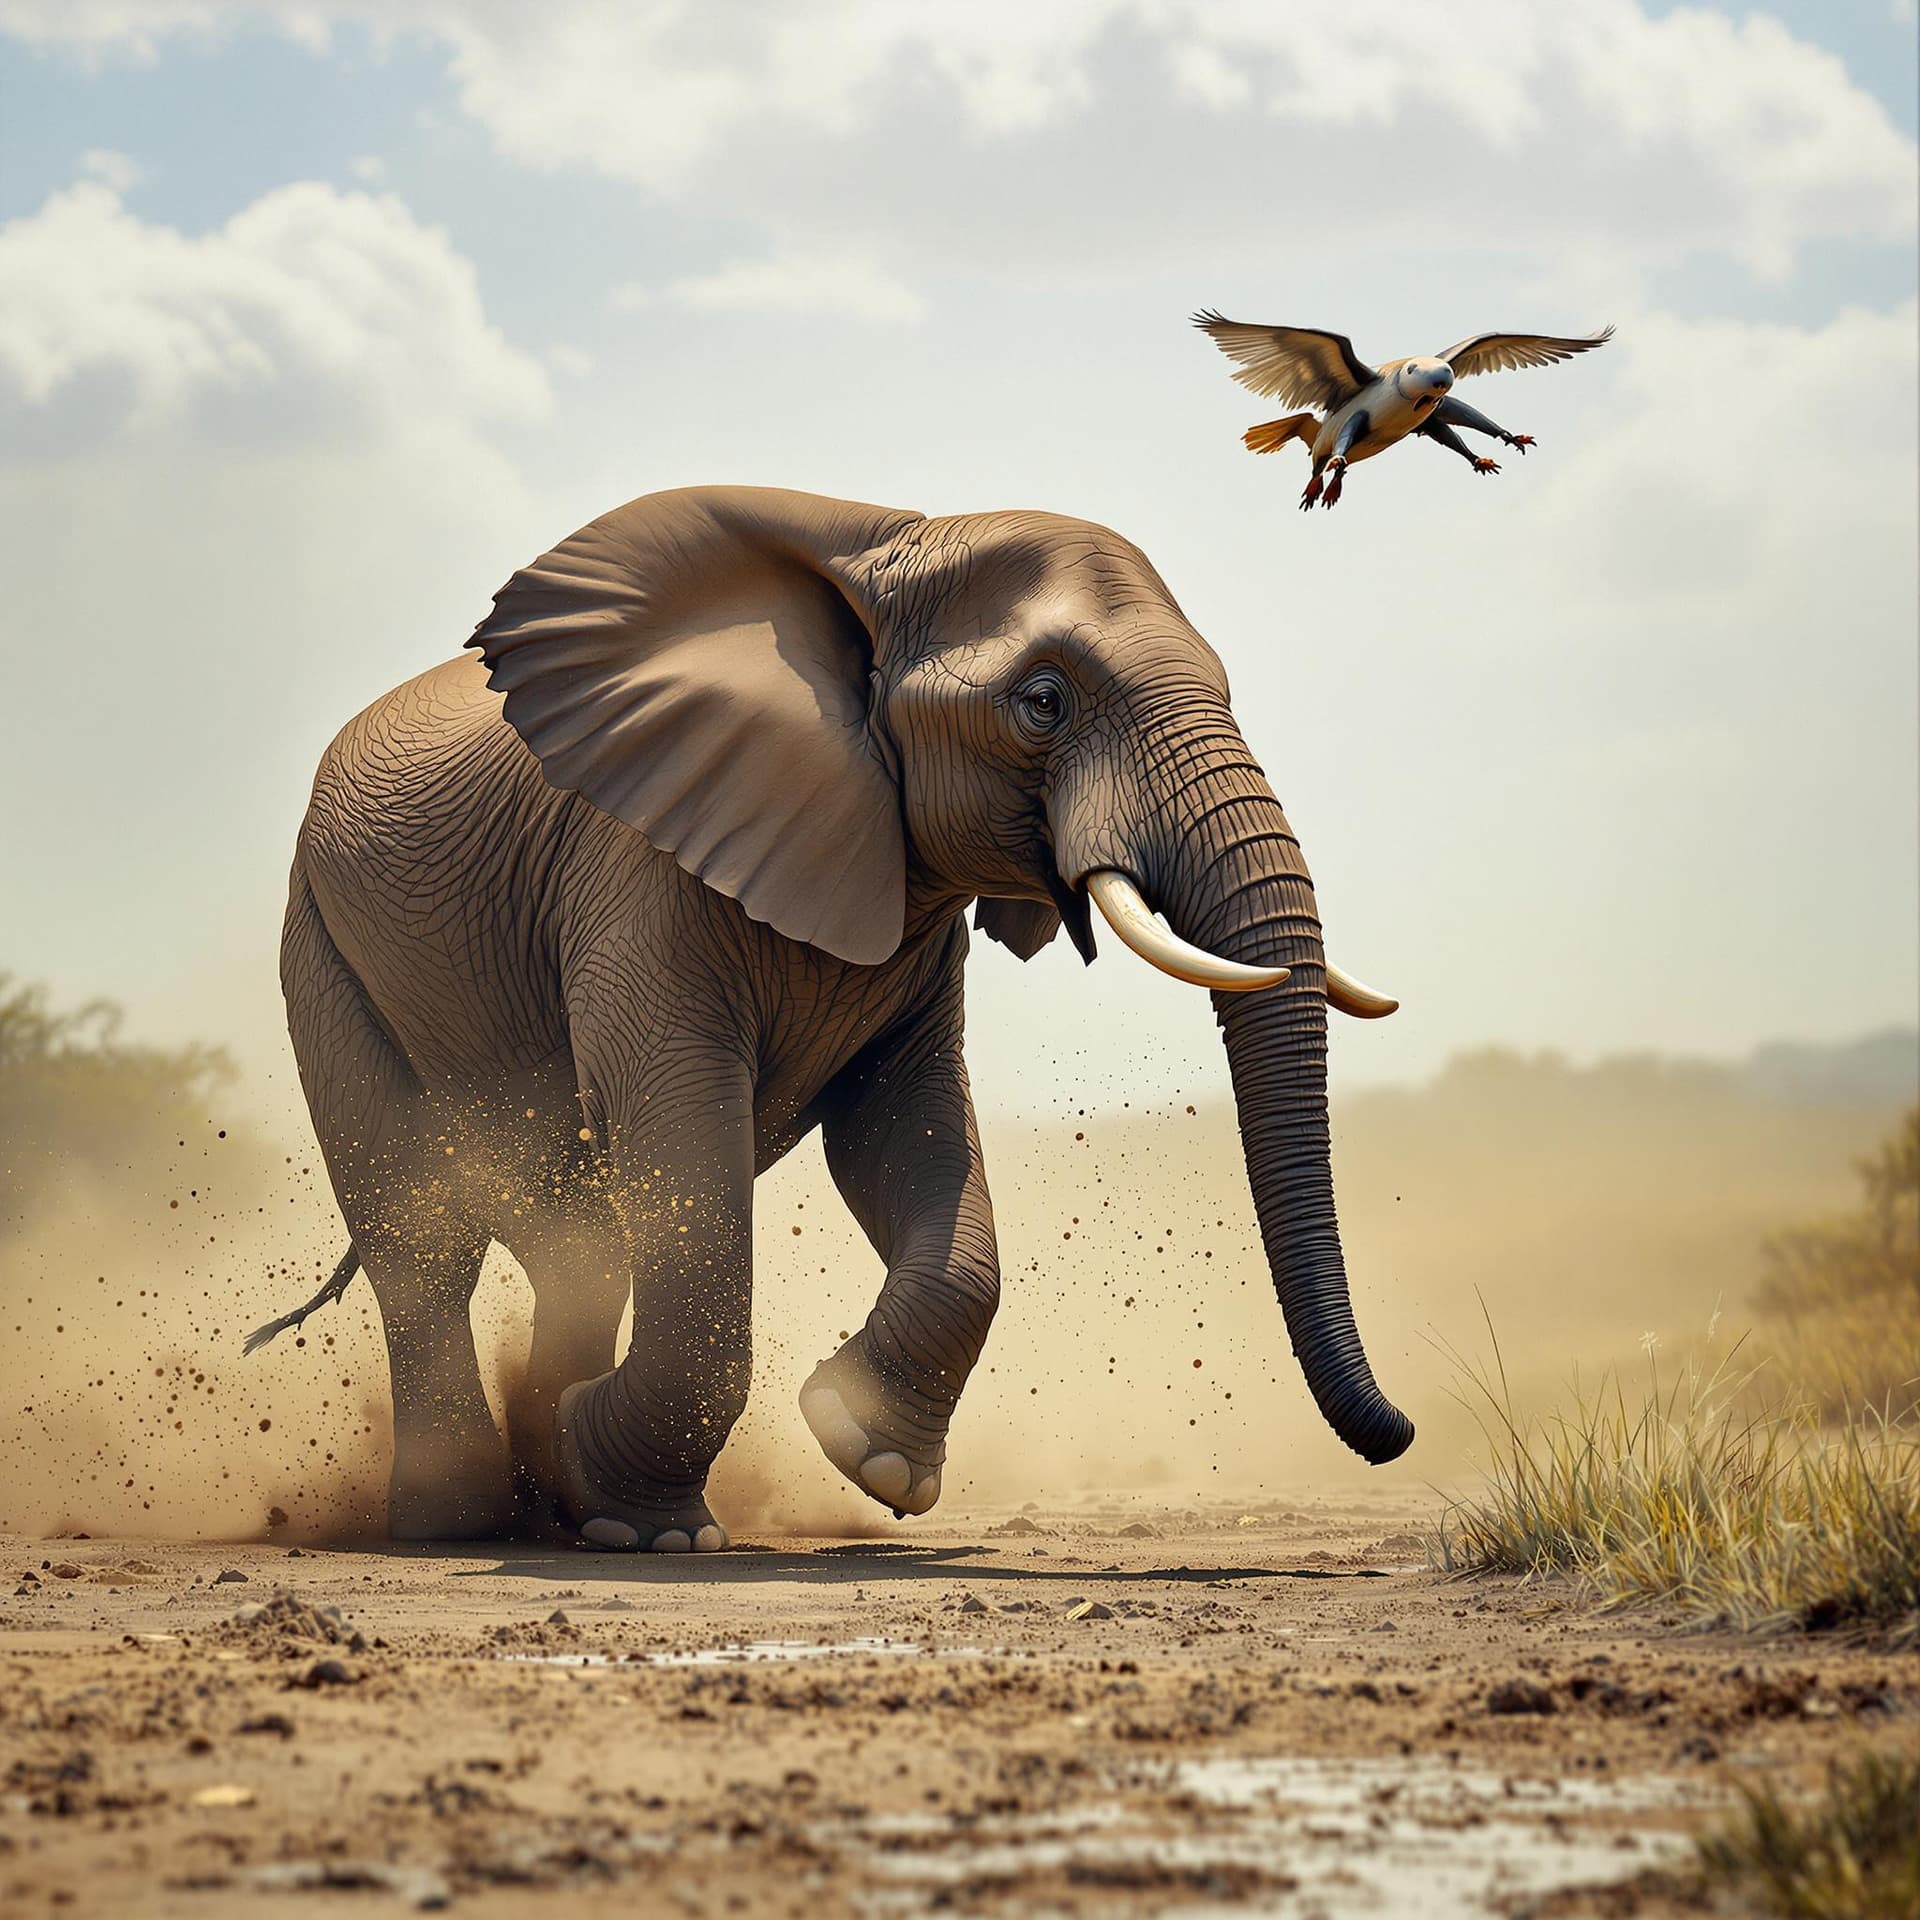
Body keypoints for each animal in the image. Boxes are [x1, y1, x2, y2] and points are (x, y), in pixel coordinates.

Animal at [270, 484, 1413, 1550]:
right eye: (1043, 702)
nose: (1397, 1432)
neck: (887, 542)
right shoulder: (638, 871)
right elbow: (674, 1123)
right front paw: (658, 1531)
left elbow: (906, 1138)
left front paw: (867, 1455)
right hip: (322, 947)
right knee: (422, 1234)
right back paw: (463, 1520)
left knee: (576, 1244)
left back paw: (554, 1501)